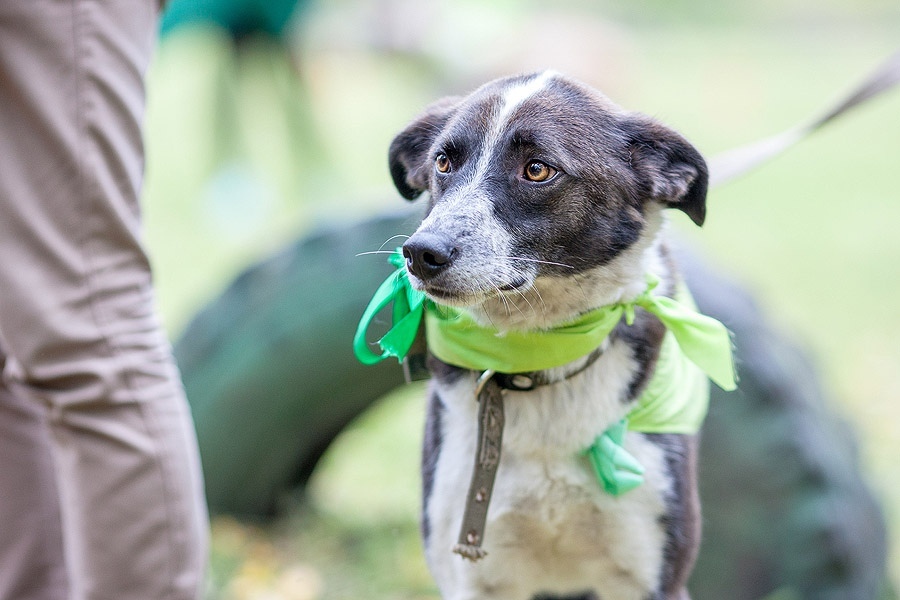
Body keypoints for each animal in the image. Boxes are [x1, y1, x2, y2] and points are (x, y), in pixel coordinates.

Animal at [388, 71, 716, 600]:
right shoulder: (470, 574)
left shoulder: (653, 577)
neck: (537, 358)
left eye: (538, 170)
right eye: (442, 161)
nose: (420, 253)